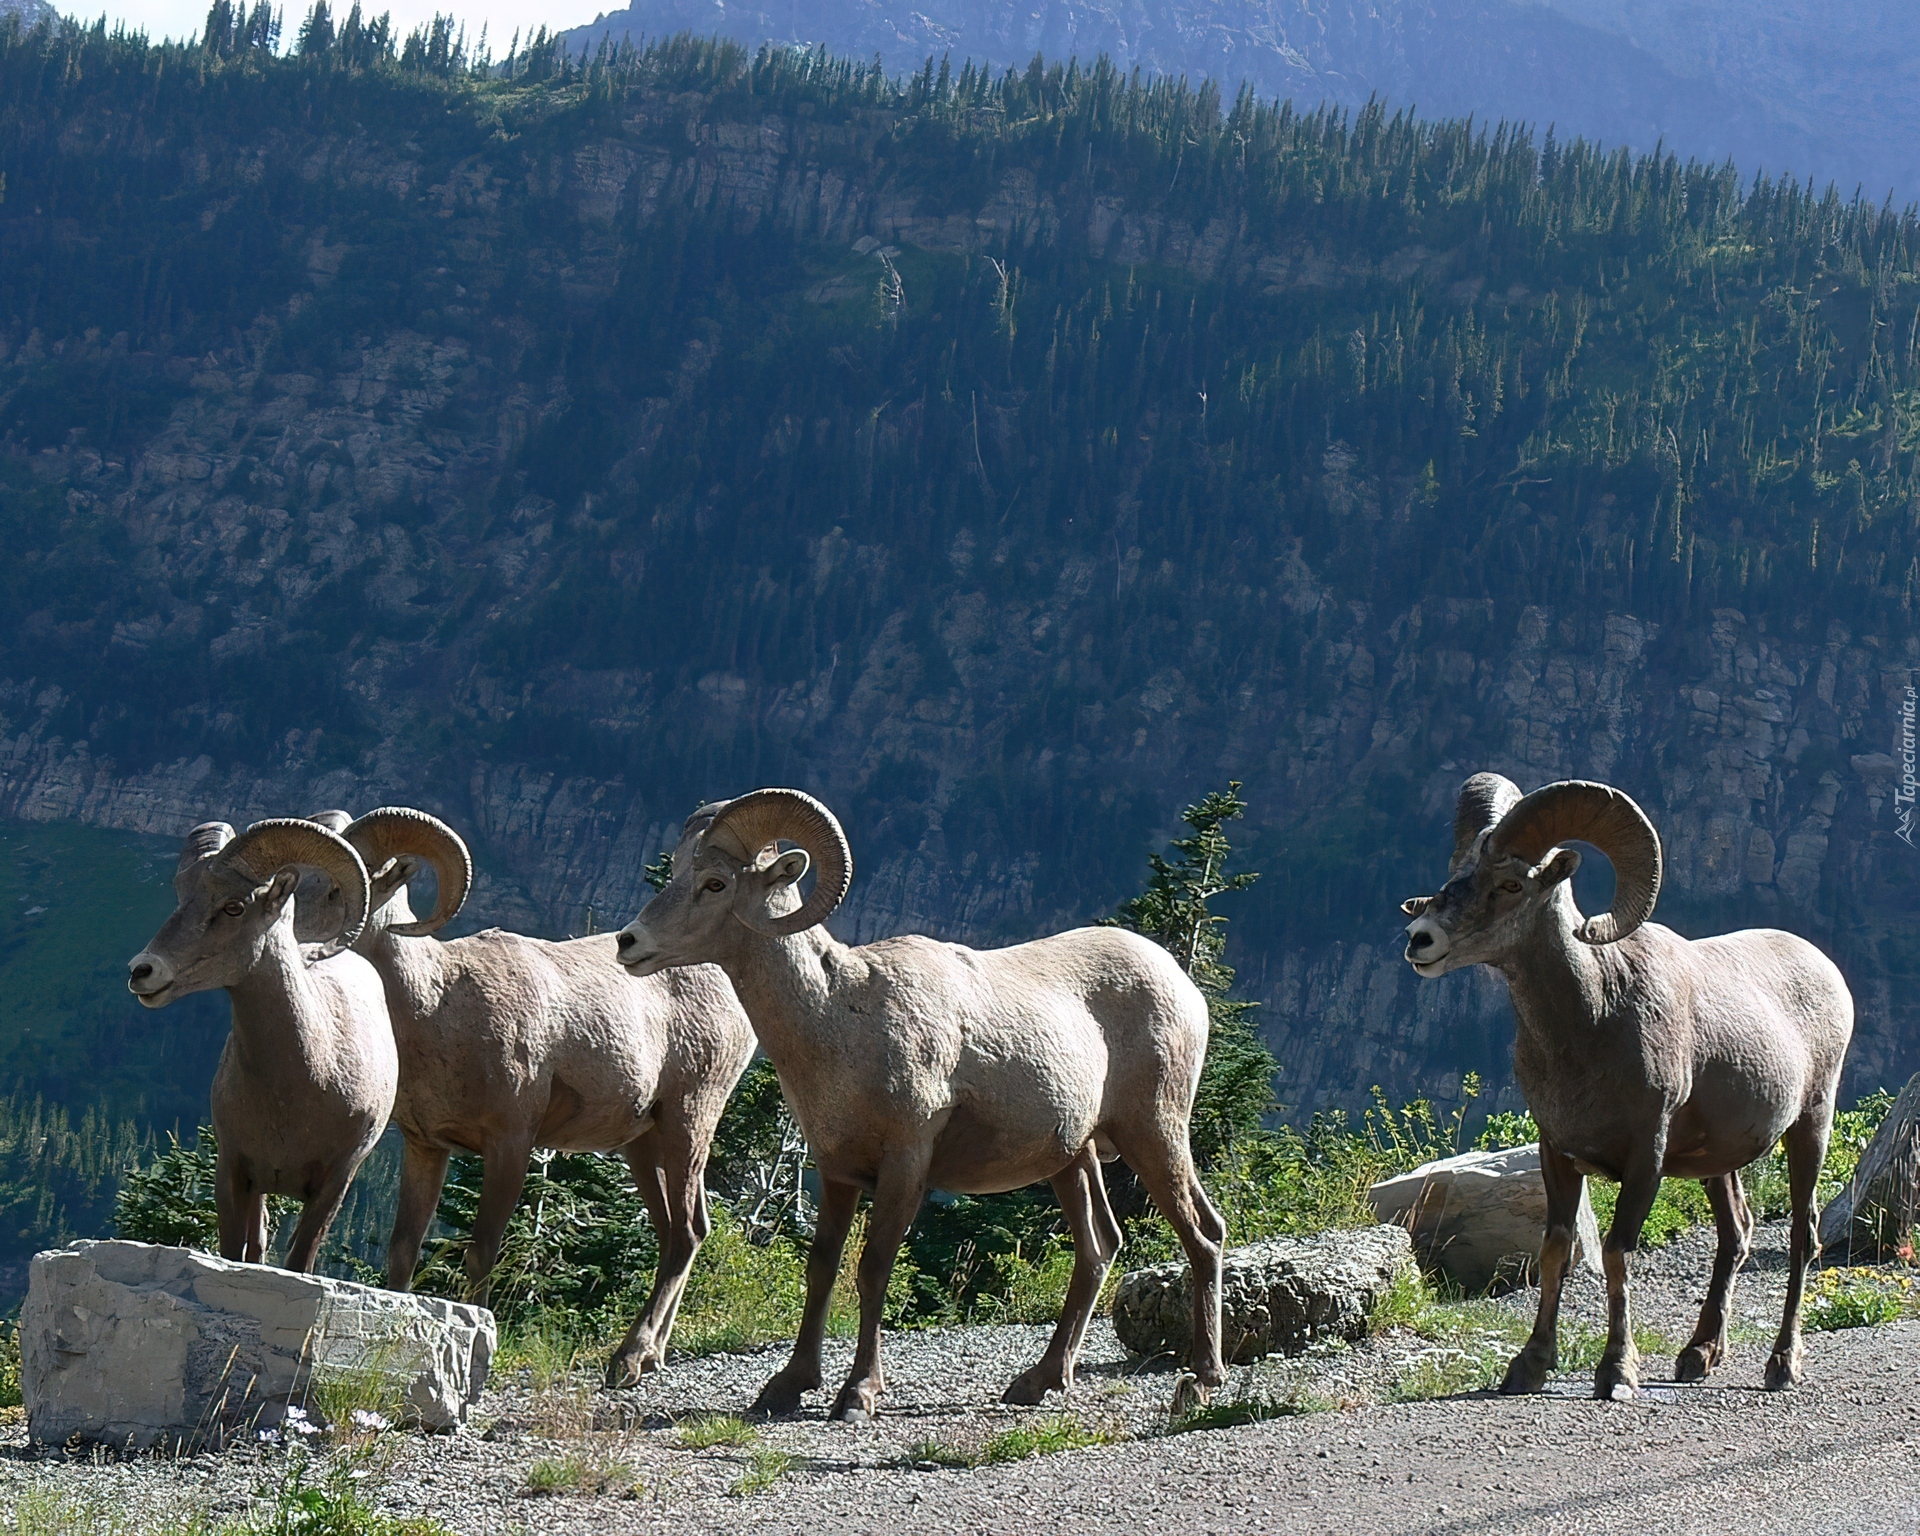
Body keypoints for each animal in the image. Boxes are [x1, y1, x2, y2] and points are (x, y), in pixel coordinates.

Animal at [126, 814, 397, 1274]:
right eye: (181, 896)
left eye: (234, 906)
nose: (142, 971)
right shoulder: (236, 1172)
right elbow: (235, 1251)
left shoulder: (334, 1184)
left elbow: (300, 1260)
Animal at [303, 810, 752, 1382]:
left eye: (339, 890)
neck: (440, 1007)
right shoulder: (426, 1146)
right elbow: (403, 1251)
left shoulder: (511, 1144)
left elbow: (481, 1252)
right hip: (642, 1145)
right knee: (678, 1232)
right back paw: (653, 1354)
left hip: (689, 1123)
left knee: (688, 1232)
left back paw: (628, 1361)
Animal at [606, 787, 1221, 1420]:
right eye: (678, 872)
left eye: (715, 884)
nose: (628, 942)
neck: (841, 1017)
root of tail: (1182, 985)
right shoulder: (837, 1170)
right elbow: (822, 1266)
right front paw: (787, 1386)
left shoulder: (905, 1163)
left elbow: (873, 1268)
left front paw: (857, 1394)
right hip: (1074, 1159)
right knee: (1099, 1248)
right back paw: (1039, 1381)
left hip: (1154, 1132)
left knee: (1203, 1232)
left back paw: (1200, 1383)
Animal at [1405, 775, 1850, 1397]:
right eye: (1458, 872)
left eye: (1511, 884)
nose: (1419, 939)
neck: (1592, 1018)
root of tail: (1827, 969)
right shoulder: (1556, 1152)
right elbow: (1554, 1251)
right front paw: (1529, 1366)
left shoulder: (1647, 1157)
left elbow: (1617, 1254)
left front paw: (1617, 1371)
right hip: (1719, 1164)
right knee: (1736, 1233)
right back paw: (1697, 1356)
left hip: (1811, 1125)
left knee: (1802, 1236)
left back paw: (1782, 1365)